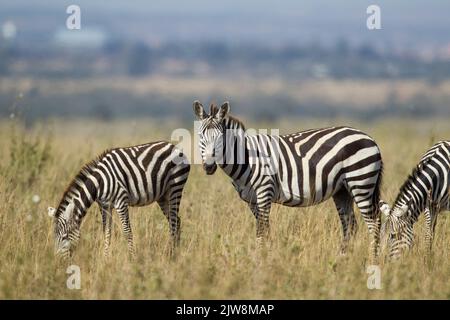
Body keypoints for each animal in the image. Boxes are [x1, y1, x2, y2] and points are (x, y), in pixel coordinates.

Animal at [47, 141, 190, 258]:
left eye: (64, 237)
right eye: (54, 237)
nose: (58, 262)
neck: (99, 183)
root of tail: (174, 146)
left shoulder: (121, 202)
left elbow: (127, 232)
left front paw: (132, 259)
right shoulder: (104, 206)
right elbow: (106, 232)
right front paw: (105, 259)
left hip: (175, 188)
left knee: (173, 222)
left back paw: (171, 254)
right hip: (163, 196)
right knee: (177, 221)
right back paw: (175, 253)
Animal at [192, 101, 384, 262]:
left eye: (220, 138)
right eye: (201, 136)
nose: (209, 167)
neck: (246, 157)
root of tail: (370, 138)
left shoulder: (264, 191)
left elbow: (262, 231)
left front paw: (261, 263)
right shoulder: (251, 200)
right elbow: (264, 230)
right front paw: (265, 258)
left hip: (361, 183)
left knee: (374, 224)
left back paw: (373, 261)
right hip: (343, 190)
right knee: (350, 226)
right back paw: (342, 260)